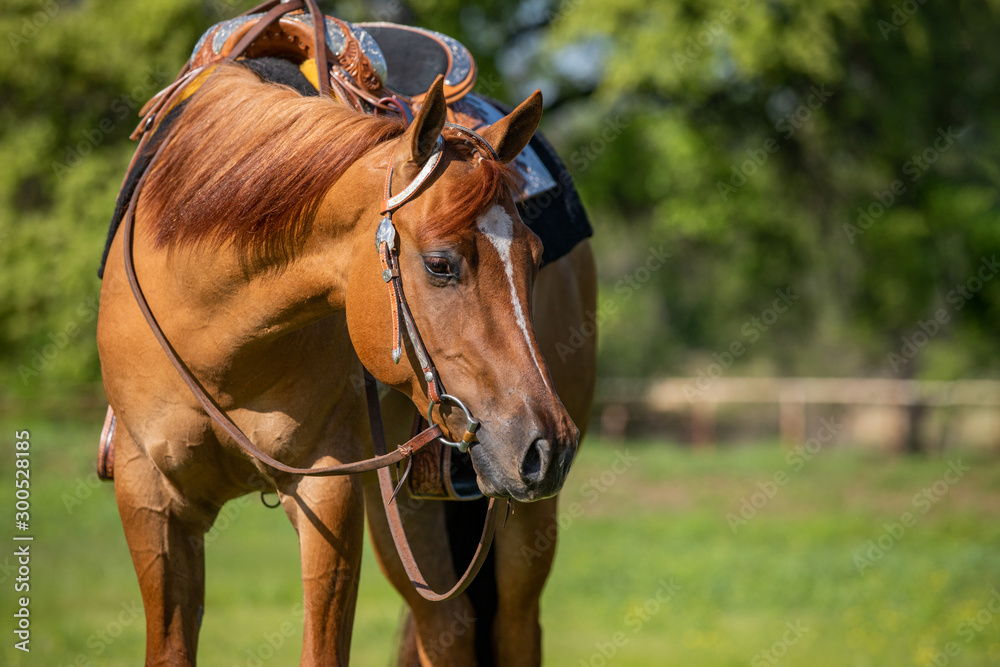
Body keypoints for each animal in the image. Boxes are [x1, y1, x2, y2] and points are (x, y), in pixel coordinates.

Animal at [97, 13, 596, 667]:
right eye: (439, 265)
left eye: (534, 258)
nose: (549, 445)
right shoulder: (148, 497)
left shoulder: (326, 491)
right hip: (408, 505)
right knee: (449, 627)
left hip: (521, 525)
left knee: (513, 627)